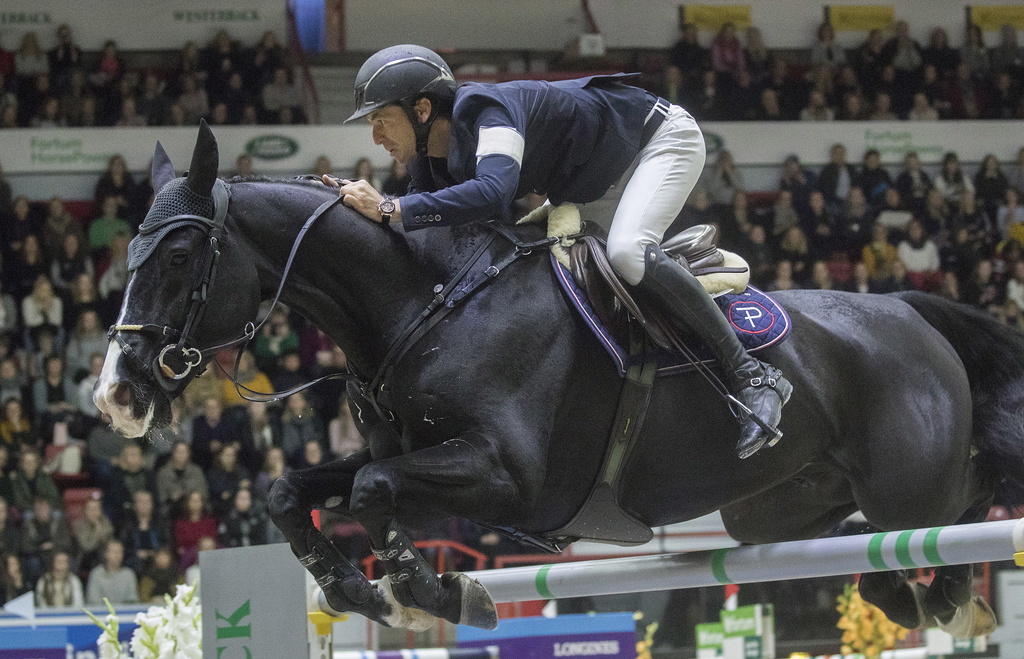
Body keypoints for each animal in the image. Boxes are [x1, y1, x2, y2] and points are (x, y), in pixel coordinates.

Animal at [97, 123, 1024, 634]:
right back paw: (909, 595)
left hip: (912, 488)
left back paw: (947, 597)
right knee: (873, 539)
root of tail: (911, 311)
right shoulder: (418, 458)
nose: (116, 392)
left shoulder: (511, 475)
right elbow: (298, 488)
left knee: (963, 501)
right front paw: (363, 588)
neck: (423, 302)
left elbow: (369, 490)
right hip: (775, 506)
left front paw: (429, 590)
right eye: (128, 249)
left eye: (177, 255)